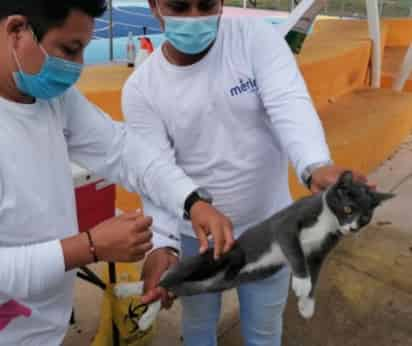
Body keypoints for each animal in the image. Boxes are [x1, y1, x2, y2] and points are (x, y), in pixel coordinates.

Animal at [114, 172, 394, 332]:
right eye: (348, 209)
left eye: (366, 217)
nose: (353, 227)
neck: (329, 222)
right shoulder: (287, 224)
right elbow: (294, 251)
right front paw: (301, 285)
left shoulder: (319, 253)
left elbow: (315, 273)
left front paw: (307, 304)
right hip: (210, 260)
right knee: (161, 283)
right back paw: (140, 309)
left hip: (198, 286)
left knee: (166, 289)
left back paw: (140, 305)